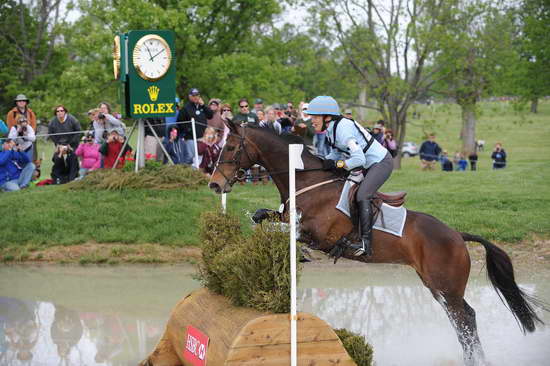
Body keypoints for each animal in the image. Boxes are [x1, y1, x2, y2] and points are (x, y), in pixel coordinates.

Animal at [208, 118, 548, 364]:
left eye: (231, 148)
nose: (214, 185)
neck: (307, 180)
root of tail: (456, 235)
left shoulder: (319, 234)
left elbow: (290, 233)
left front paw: (300, 253)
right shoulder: (285, 217)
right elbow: (262, 218)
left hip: (446, 285)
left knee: (465, 318)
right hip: (437, 286)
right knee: (462, 318)